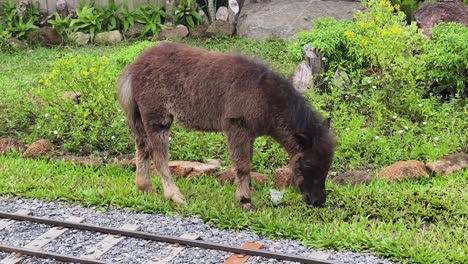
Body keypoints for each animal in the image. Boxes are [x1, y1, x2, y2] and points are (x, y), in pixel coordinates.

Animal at [119, 42, 334, 210]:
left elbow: (246, 163)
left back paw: (145, 188)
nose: (318, 201)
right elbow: (242, 165)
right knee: (158, 156)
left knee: (142, 148)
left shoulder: (249, 134)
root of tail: (133, 67)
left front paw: (246, 195)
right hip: (158, 119)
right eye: (308, 163)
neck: (263, 96)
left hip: (142, 119)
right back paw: (175, 196)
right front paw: (245, 200)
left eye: (328, 164)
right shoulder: (236, 127)